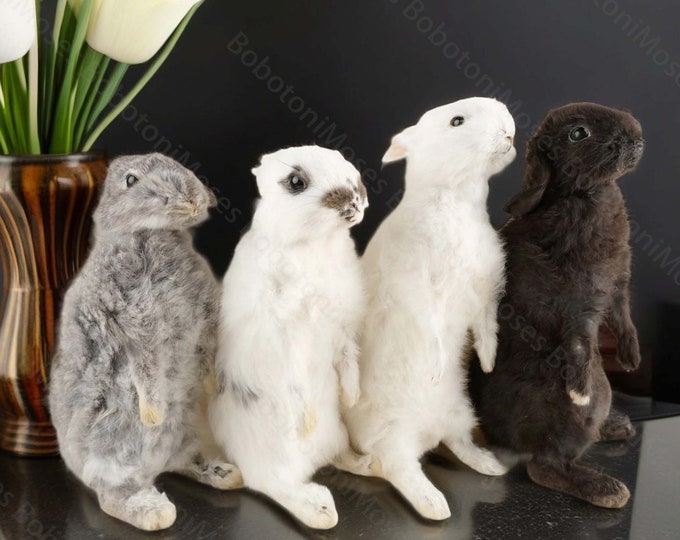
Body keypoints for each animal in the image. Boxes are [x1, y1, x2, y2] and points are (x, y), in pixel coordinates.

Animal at [48, 153, 243, 532]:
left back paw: (223, 473)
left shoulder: (206, 321)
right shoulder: (134, 330)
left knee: (183, 461)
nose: (194, 198)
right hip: (110, 449)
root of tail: (154, 467)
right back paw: (152, 510)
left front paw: (212, 386)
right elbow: (147, 373)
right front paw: (153, 414)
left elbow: (208, 359)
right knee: (112, 495)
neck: (153, 234)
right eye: (131, 180)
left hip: (187, 434)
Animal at [209, 145, 373, 530]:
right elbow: (295, 383)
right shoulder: (287, 337)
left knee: (338, 456)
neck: (315, 245)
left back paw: (364, 463)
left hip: (338, 433)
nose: (355, 198)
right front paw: (305, 420)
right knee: (272, 485)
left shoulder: (342, 329)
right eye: (296, 181)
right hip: (275, 461)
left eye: (342, 159)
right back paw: (321, 509)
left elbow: (349, 361)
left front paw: (352, 397)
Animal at [344, 97, 516, 521]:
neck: (455, 199)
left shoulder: (485, 291)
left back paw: (490, 465)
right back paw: (434, 505)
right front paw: (436, 367)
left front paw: (488, 361)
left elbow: (486, 326)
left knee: (458, 444)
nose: (508, 130)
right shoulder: (415, 287)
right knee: (396, 467)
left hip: (461, 413)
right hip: (393, 435)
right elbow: (430, 327)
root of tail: (427, 432)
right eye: (456, 121)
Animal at [472, 102, 643, 509]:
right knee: (545, 467)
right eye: (578, 134)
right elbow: (579, 342)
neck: (584, 195)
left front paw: (631, 358)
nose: (634, 135)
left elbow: (624, 317)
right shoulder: (578, 301)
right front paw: (578, 392)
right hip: (568, 420)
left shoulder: (618, 284)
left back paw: (614, 425)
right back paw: (605, 488)